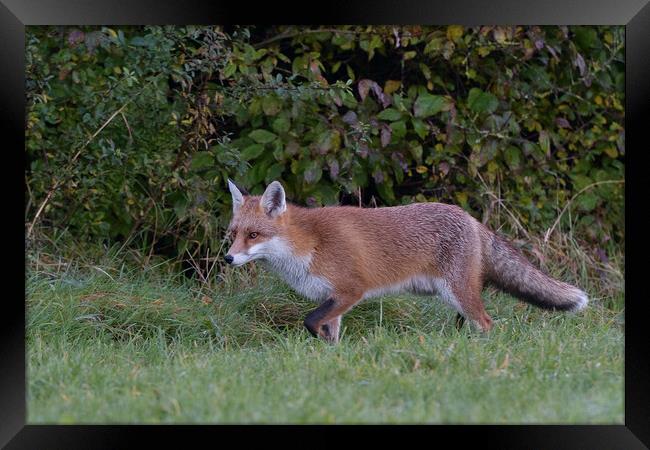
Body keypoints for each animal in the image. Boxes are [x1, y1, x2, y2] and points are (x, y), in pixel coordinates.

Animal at [223, 178, 588, 342]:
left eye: (253, 235)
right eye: (233, 234)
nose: (227, 258)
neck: (308, 245)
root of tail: (471, 218)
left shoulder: (350, 290)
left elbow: (310, 322)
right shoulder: (333, 300)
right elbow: (330, 333)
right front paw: (329, 358)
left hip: (459, 292)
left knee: (486, 322)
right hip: (449, 294)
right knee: (469, 321)